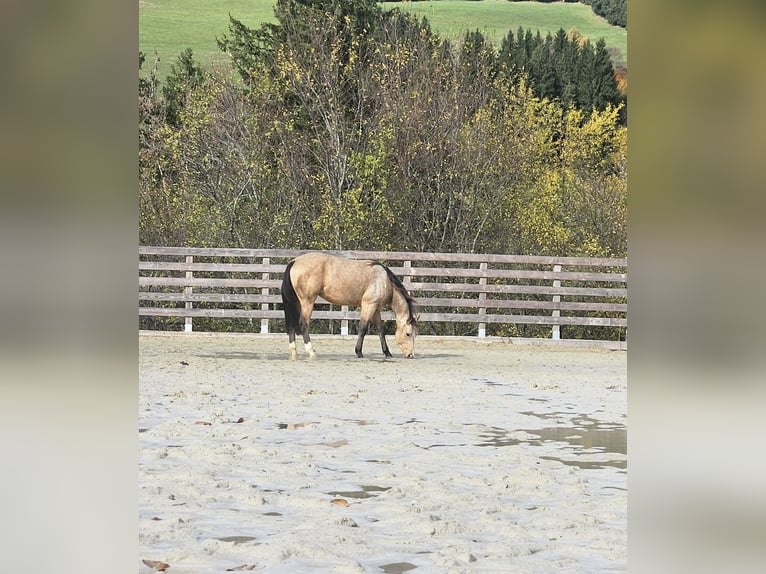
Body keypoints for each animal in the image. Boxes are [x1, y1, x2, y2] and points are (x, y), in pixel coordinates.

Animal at [280, 252, 418, 359]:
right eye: (408, 333)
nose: (410, 355)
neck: (384, 280)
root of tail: (294, 261)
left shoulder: (375, 309)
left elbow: (380, 330)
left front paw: (387, 353)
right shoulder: (368, 305)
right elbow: (363, 328)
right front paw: (359, 352)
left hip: (295, 302)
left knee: (291, 324)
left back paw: (294, 352)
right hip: (307, 302)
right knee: (303, 324)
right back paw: (311, 352)